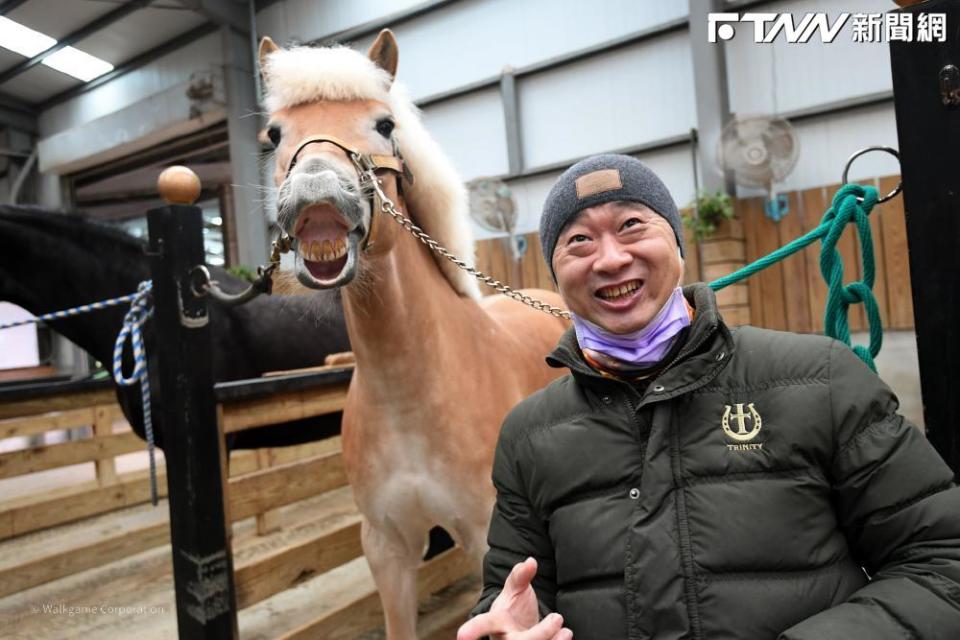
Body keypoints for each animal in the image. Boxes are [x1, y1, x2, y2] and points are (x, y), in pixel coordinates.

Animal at [258, 28, 568, 636]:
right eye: (274, 134)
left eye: (385, 125)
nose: (317, 192)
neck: (411, 394)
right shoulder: (387, 547)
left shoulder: (484, 540)